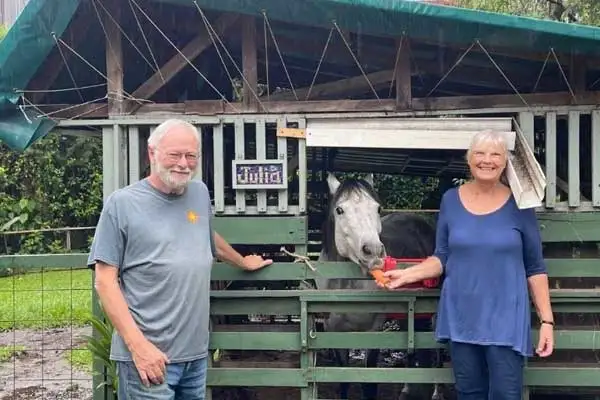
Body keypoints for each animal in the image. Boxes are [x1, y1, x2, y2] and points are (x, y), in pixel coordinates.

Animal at [316, 173, 442, 400]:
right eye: (340, 210)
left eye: (377, 208)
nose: (373, 251)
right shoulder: (333, 331)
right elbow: (342, 380)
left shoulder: (373, 330)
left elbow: (369, 383)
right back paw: (406, 389)